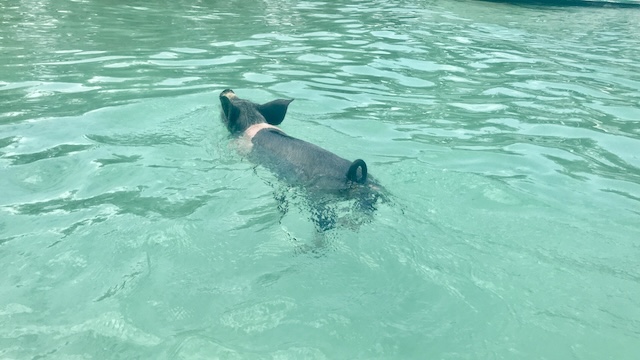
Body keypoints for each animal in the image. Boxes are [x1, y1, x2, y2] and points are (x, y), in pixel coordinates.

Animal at [218, 90, 382, 231]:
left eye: (223, 112)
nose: (227, 90)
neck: (253, 122)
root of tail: (353, 175)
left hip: (318, 198)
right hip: (373, 191)